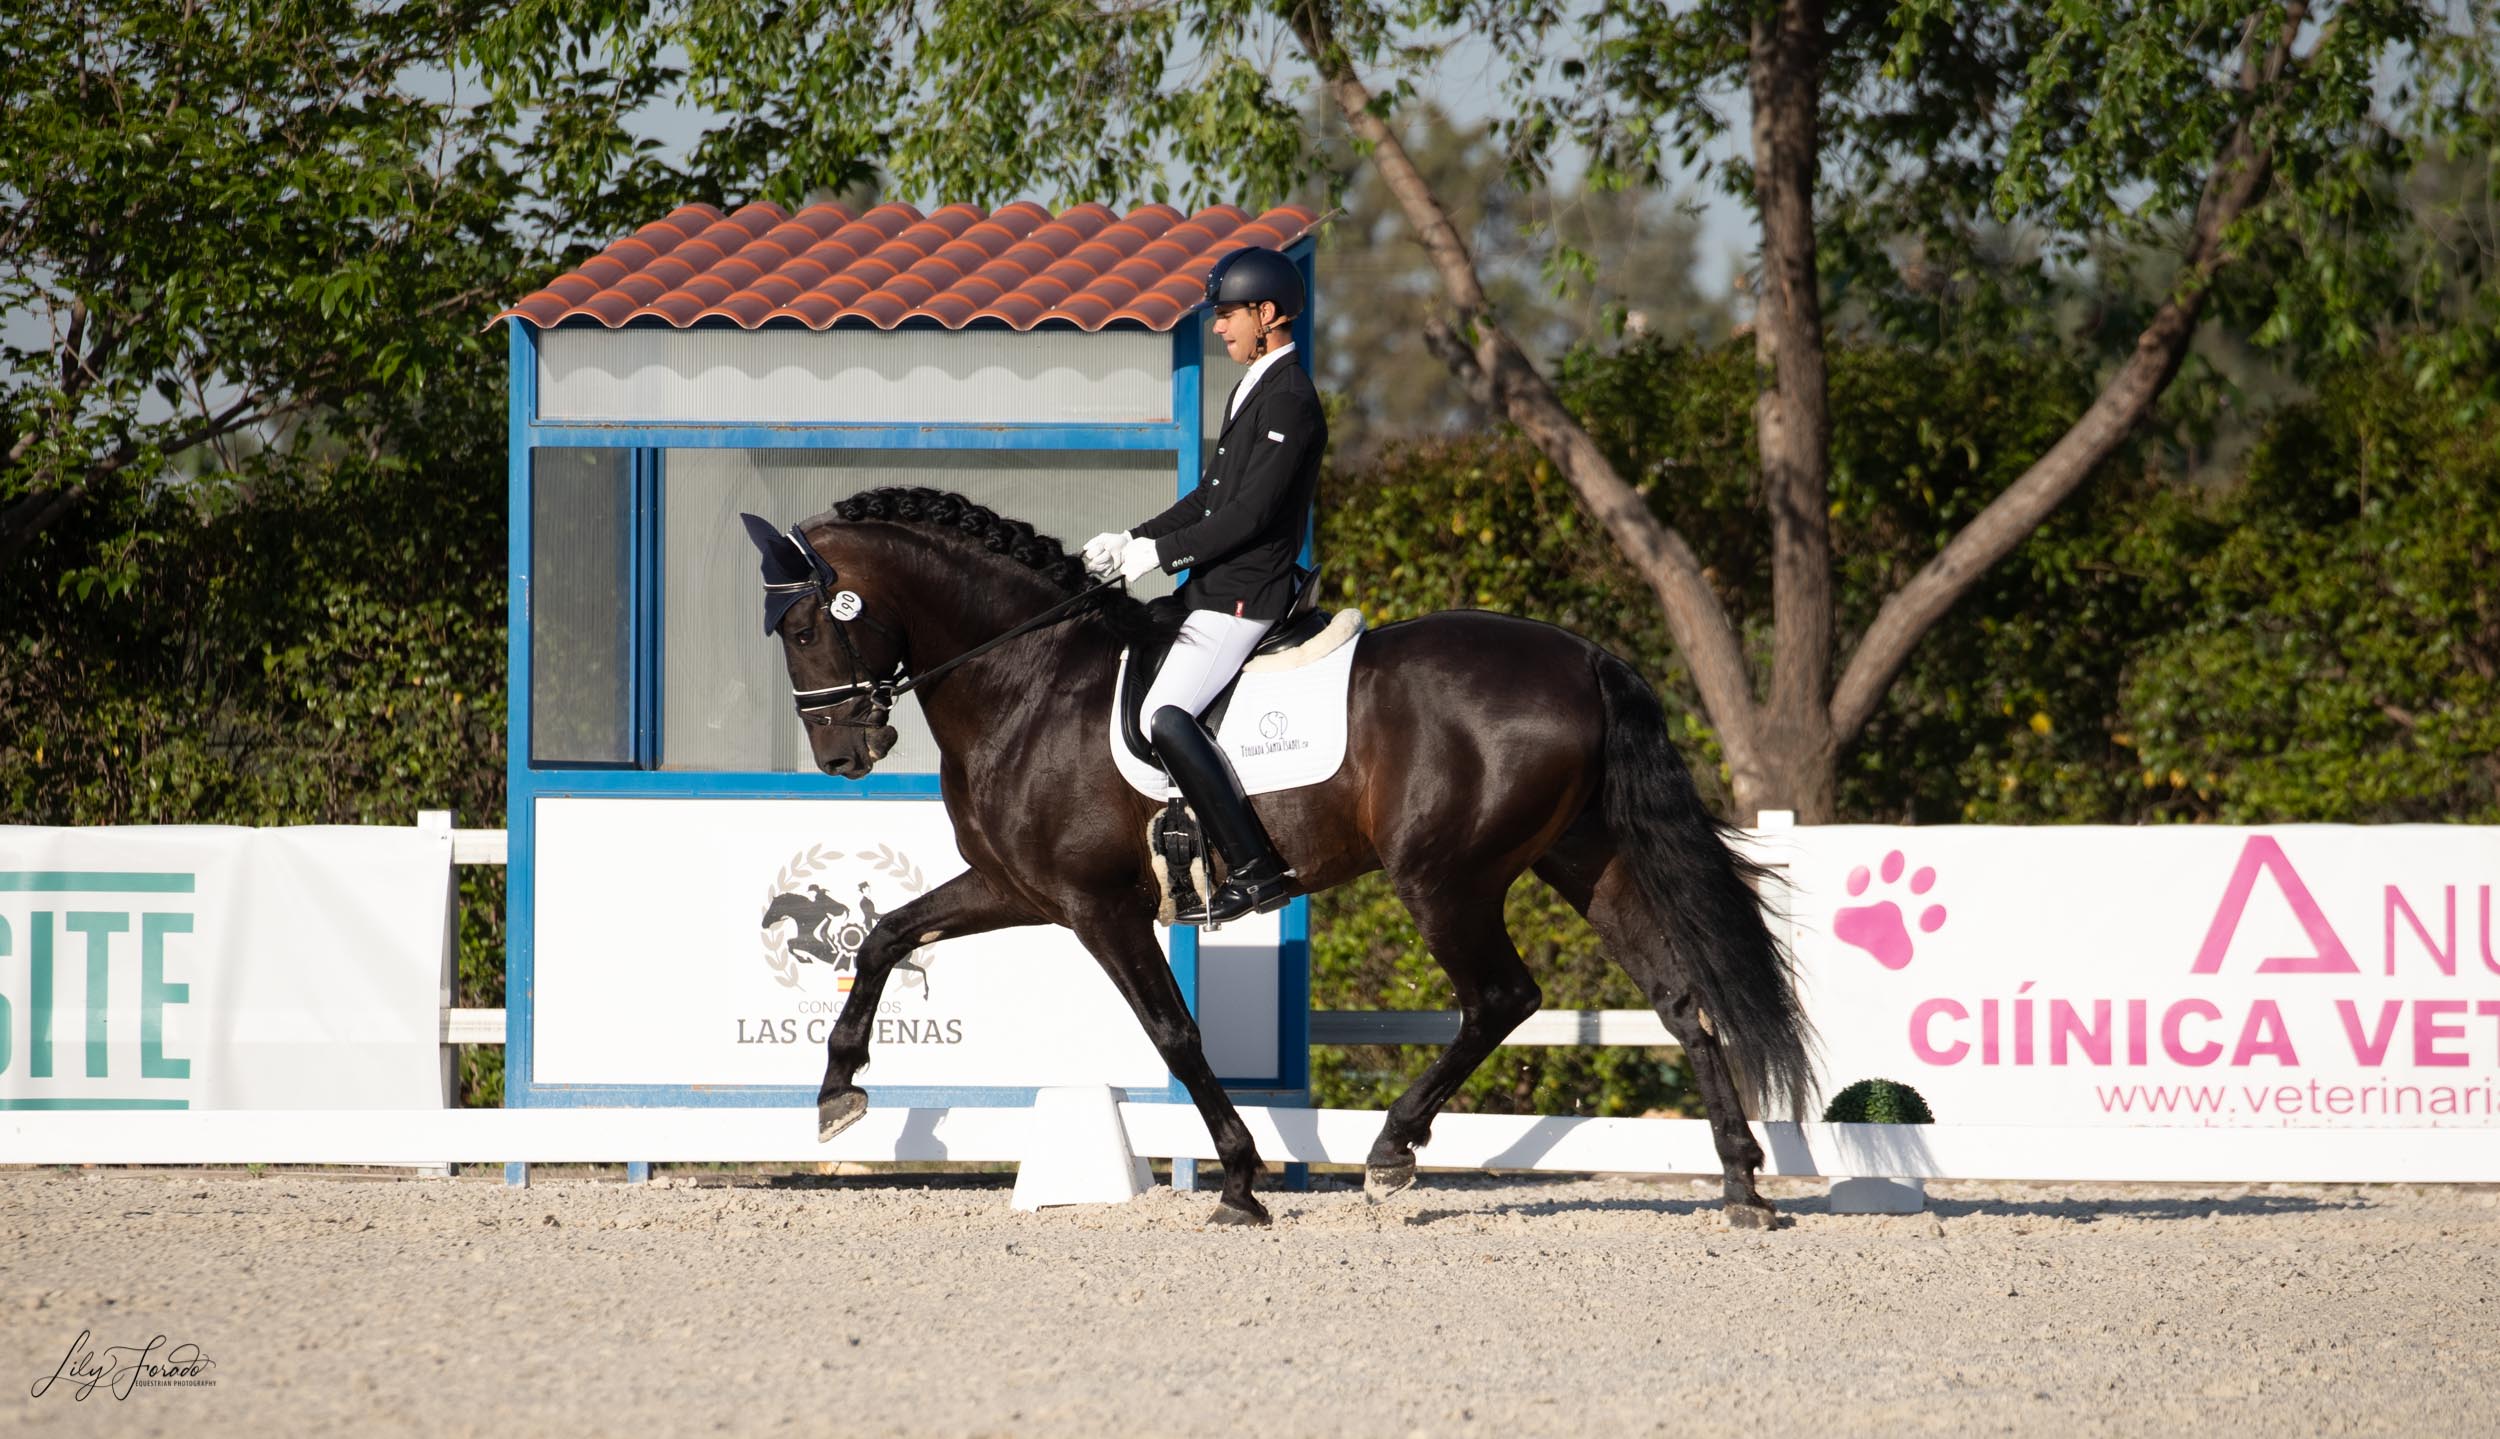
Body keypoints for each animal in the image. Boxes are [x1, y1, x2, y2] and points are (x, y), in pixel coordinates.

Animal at [745, 487, 1820, 1224]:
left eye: (801, 625)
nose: (844, 756)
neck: (1029, 680)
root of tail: (1584, 656)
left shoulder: (1097, 906)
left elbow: (1173, 1035)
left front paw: (1241, 1179)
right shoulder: (1018, 885)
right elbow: (885, 935)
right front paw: (838, 1092)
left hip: (1446, 877)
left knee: (1501, 997)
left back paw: (1392, 1150)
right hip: (1584, 859)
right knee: (1683, 998)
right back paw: (1741, 1188)